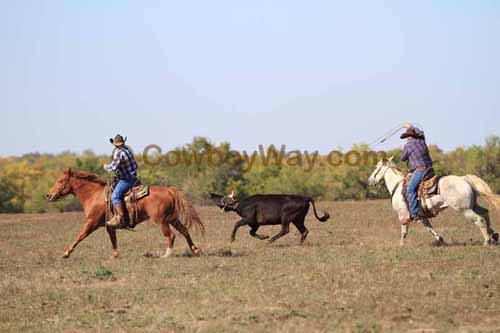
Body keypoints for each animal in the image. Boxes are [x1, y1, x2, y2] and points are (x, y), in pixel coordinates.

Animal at [45, 167, 204, 258]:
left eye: (60, 181)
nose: (48, 195)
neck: (94, 195)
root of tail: (169, 190)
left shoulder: (91, 223)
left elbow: (79, 236)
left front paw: (66, 253)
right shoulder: (109, 224)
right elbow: (113, 238)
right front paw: (115, 255)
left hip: (162, 221)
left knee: (171, 235)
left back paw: (166, 255)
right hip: (172, 218)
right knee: (184, 230)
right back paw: (195, 250)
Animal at [368, 157, 500, 245]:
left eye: (376, 167)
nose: (370, 180)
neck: (397, 185)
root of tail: (463, 179)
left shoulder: (402, 215)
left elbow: (404, 231)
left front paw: (401, 245)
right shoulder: (421, 216)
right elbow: (429, 228)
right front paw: (440, 240)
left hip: (465, 209)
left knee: (479, 219)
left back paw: (487, 240)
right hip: (473, 205)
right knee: (485, 213)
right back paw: (493, 235)